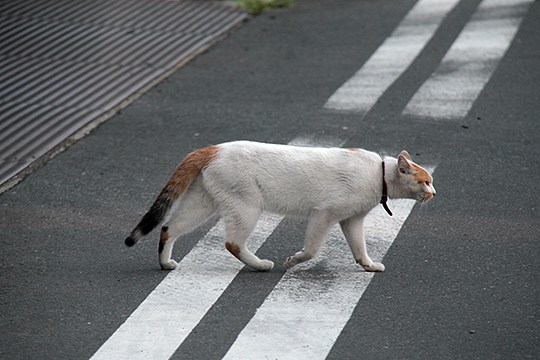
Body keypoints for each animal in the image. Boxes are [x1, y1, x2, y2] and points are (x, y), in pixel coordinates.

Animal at [125, 141, 434, 272]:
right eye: (426, 181)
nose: (435, 192)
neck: (378, 173)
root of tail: (212, 148)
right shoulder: (325, 214)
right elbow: (311, 250)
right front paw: (292, 261)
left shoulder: (351, 220)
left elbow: (359, 248)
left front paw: (368, 265)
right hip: (247, 206)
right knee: (232, 243)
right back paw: (261, 265)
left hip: (202, 202)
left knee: (168, 227)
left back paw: (165, 263)